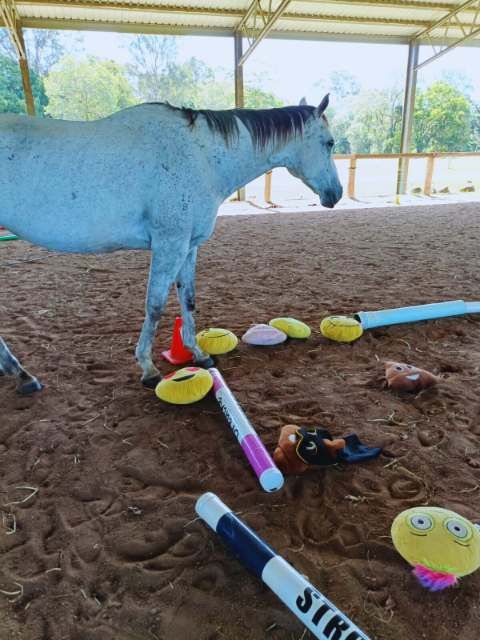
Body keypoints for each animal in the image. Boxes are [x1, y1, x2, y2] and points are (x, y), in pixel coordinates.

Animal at [0, 95, 342, 395]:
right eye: (329, 142)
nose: (336, 194)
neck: (201, 155)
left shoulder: (188, 246)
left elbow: (187, 300)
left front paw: (199, 353)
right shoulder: (170, 245)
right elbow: (155, 305)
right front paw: (148, 368)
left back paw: (21, 374)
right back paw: (22, 374)